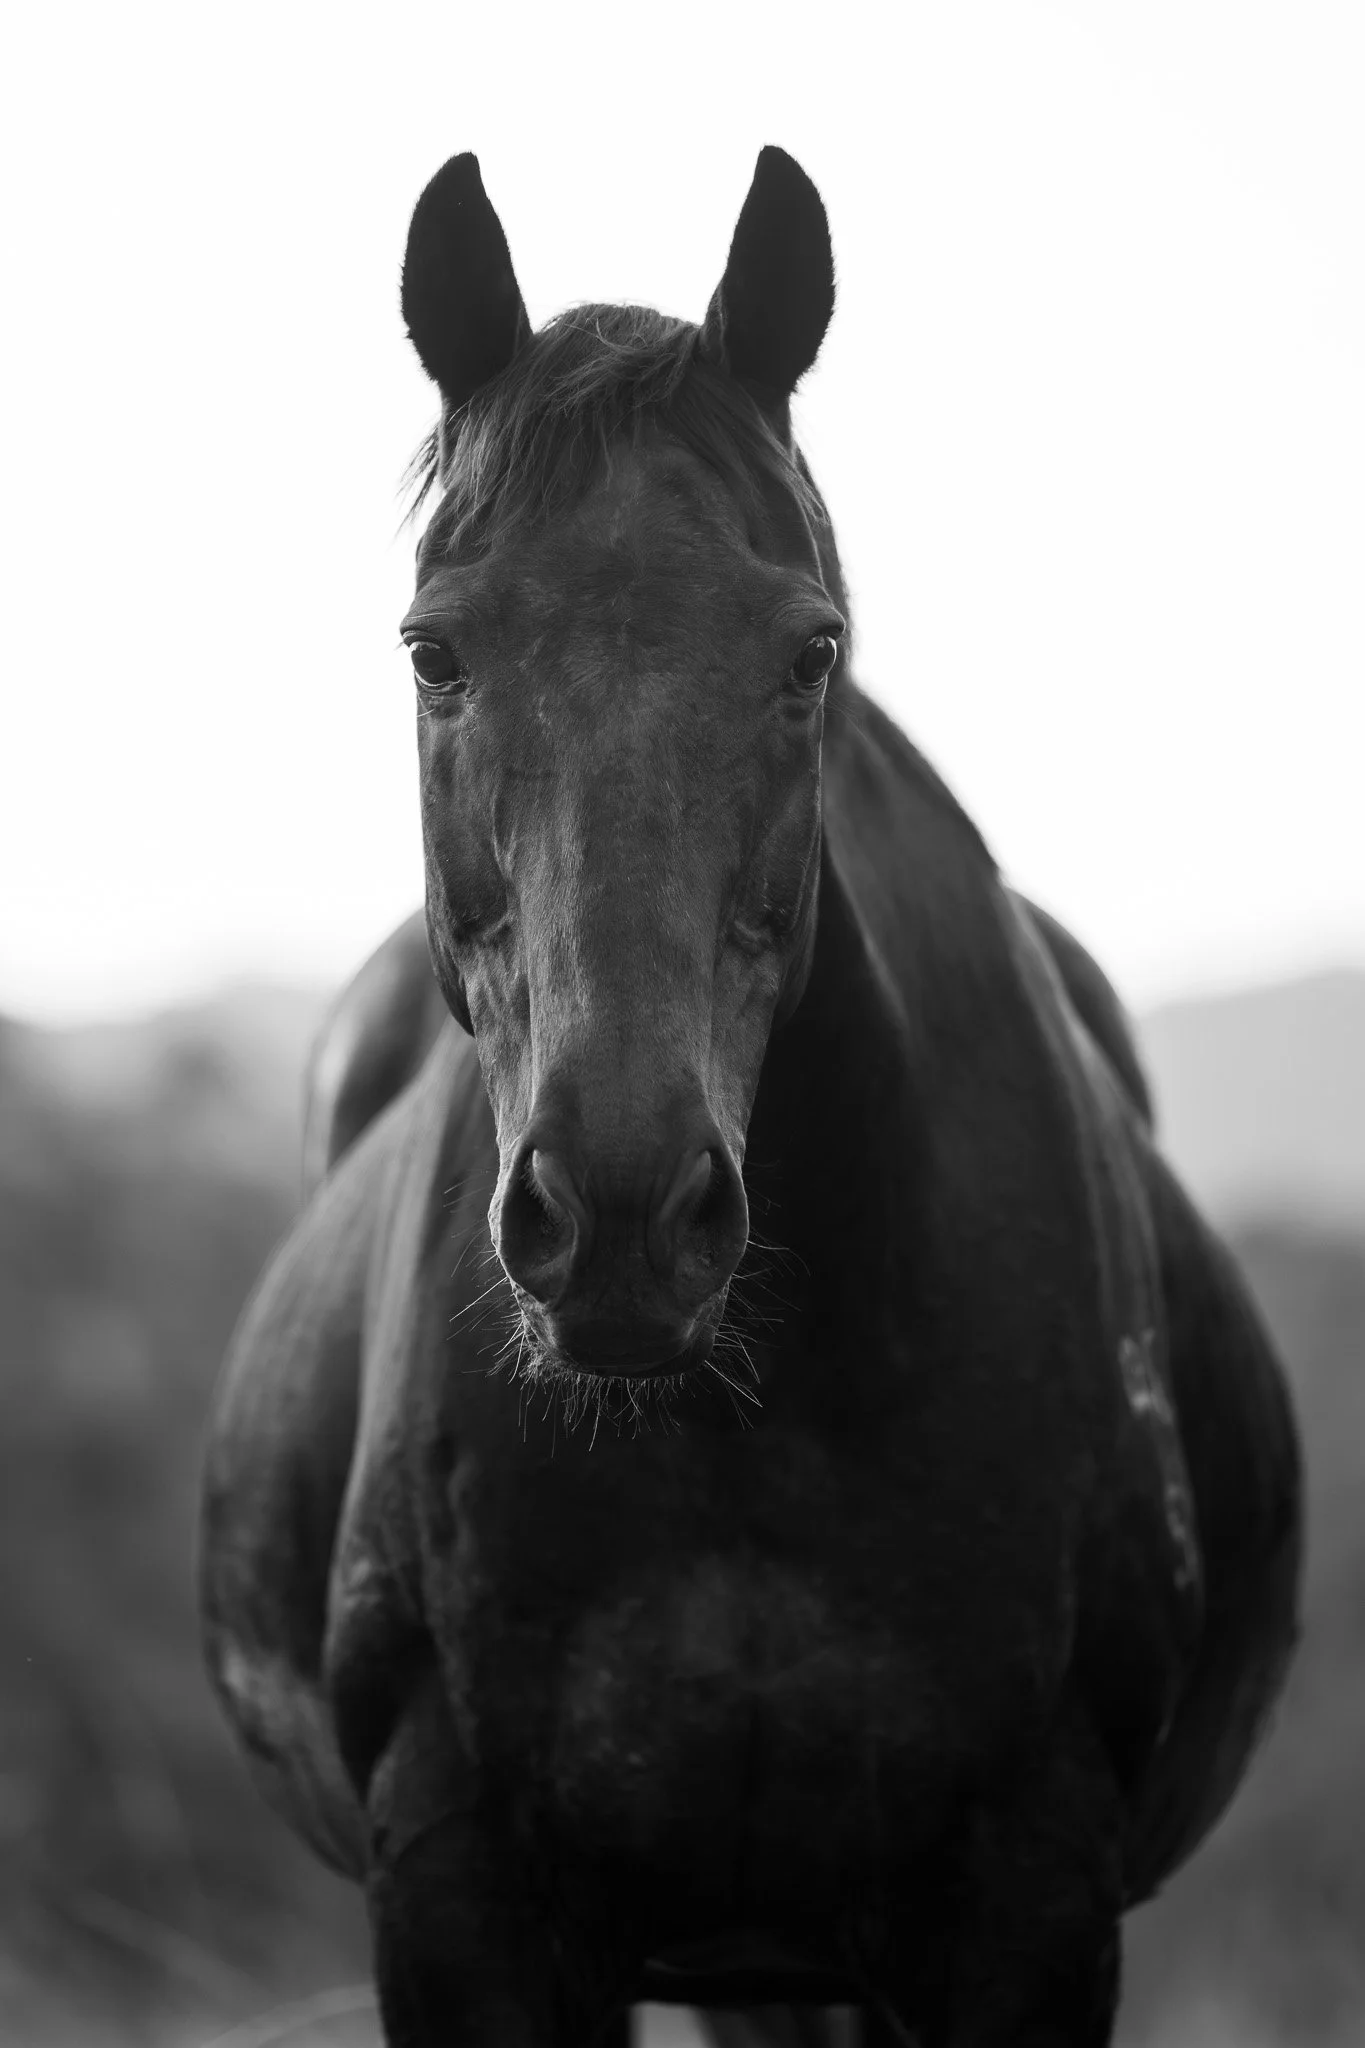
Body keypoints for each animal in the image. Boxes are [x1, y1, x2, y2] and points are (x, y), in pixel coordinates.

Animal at [200, 147, 1303, 2047]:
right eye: (432, 652)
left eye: (809, 655)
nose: (624, 1215)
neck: (744, 1433)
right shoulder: (465, 1891)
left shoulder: (1029, 1891)